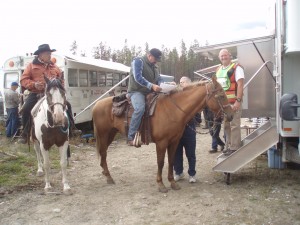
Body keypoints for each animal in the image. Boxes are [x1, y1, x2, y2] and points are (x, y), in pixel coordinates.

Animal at [92, 76, 234, 192]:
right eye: (221, 95)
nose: (231, 115)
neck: (172, 109)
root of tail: (96, 105)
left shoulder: (174, 141)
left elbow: (171, 161)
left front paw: (172, 182)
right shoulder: (161, 142)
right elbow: (160, 162)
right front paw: (160, 184)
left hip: (110, 134)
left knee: (103, 154)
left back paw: (106, 174)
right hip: (103, 134)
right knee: (103, 153)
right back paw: (109, 177)